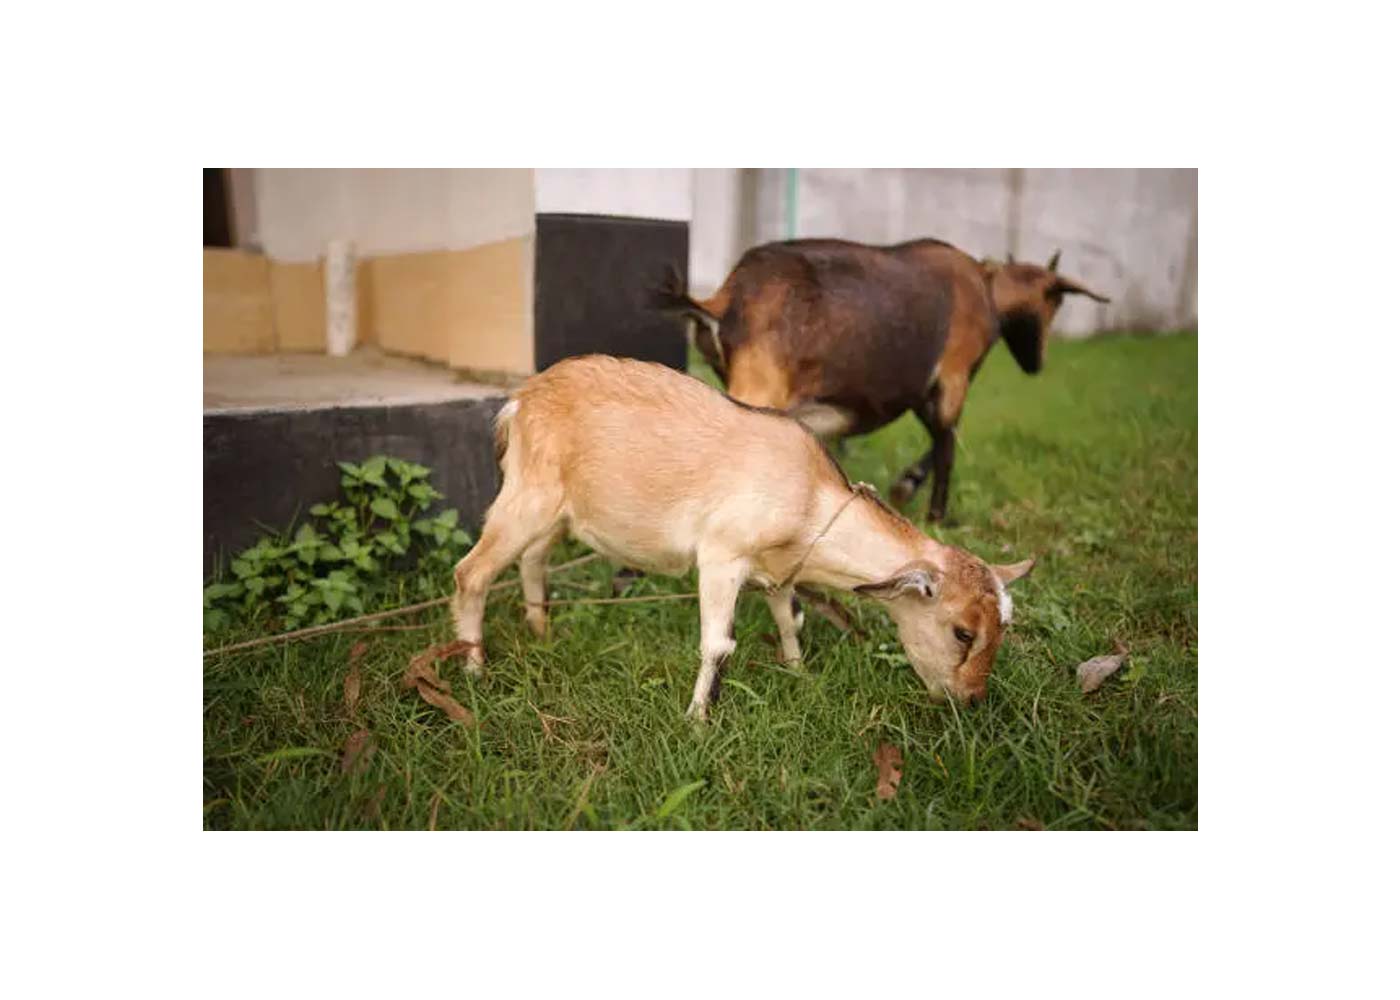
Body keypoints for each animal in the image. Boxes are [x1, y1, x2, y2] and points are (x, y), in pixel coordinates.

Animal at [451, 355, 1033, 721]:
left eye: (1004, 626)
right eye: (962, 632)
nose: (972, 699)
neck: (811, 498)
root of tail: (520, 401)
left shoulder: (778, 571)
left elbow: (789, 619)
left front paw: (799, 673)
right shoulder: (721, 555)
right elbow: (718, 643)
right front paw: (695, 720)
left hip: (556, 514)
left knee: (532, 560)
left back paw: (541, 631)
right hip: (525, 498)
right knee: (471, 573)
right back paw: (474, 669)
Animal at [655, 239, 1109, 522]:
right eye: (1056, 301)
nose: (1036, 363)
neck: (985, 289)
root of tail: (725, 300)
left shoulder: (919, 390)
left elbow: (941, 435)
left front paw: (906, 487)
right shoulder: (952, 375)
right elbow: (948, 440)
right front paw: (934, 512)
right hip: (759, 387)